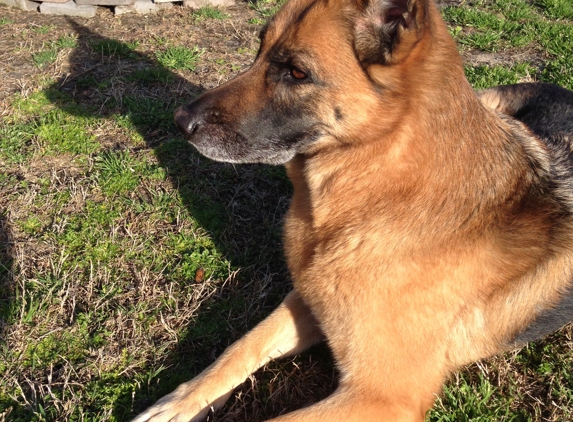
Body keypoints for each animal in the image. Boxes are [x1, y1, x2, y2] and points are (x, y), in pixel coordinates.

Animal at [132, 0, 572, 418]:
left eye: (296, 73)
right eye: (259, 50)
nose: (179, 120)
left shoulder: (380, 398)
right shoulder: (307, 299)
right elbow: (241, 346)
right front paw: (181, 401)